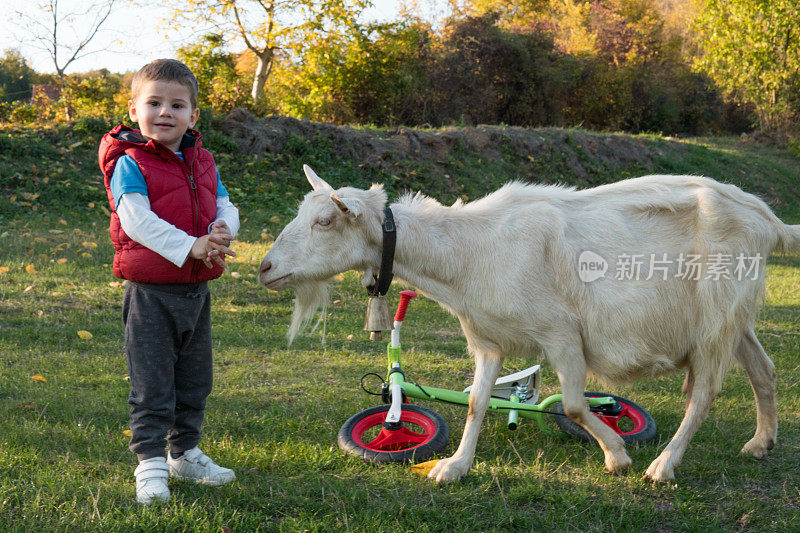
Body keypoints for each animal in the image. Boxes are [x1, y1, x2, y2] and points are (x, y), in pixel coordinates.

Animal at [260, 166, 796, 482]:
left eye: (325, 222)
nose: (265, 268)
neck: (470, 250)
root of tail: (769, 221)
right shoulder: (487, 338)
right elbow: (476, 402)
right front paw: (454, 466)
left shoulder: (562, 333)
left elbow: (577, 405)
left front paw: (618, 456)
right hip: (735, 317)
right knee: (763, 370)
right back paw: (760, 443)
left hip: (716, 317)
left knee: (704, 391)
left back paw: (662, 466)